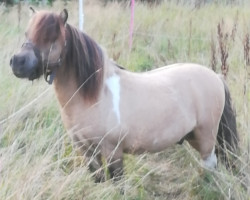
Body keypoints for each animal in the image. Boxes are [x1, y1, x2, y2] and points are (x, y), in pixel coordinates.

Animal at [9, 9, 238, 181]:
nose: (17, 62)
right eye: (27, 34)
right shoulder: (86, 151)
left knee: (210, 164)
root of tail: (216, 77)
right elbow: (98, 179)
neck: (94, 96)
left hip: (206, 137)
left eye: (52, 37)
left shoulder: (112, 151)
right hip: (193, 137)